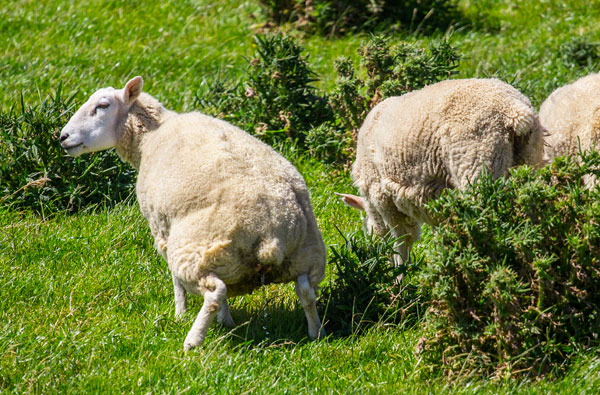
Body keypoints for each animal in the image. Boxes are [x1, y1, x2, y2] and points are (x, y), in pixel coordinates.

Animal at [58, 76, 326, 352]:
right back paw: (316, 334)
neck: (150, 137)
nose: (63, 136)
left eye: (102, 105)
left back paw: (192, 341)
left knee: (215, 292)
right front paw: (225, 321)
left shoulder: (162, 229)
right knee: (305, 291)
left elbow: (176, 281)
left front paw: (180, 314)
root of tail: (271, 236)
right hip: (305, 254)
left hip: (198, 248)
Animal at [338, 77, 544, 266]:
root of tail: (515, 112)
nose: (374, 252)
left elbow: (402, 241)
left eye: (366, 229)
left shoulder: (381, 196)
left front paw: (398, 276)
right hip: (529, 162)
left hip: (478, 163)